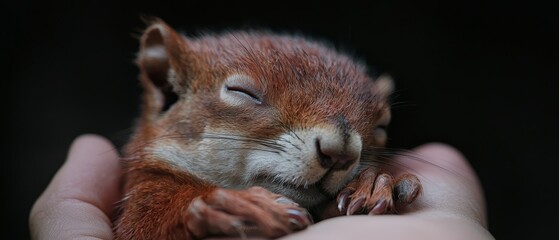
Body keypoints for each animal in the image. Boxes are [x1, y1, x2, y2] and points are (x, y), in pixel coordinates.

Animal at [112, 17, 420, 239]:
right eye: (242, 92)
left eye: (382, 126)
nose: (340, 154)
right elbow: (143, 226)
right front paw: (229, 205)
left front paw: (374, 184)